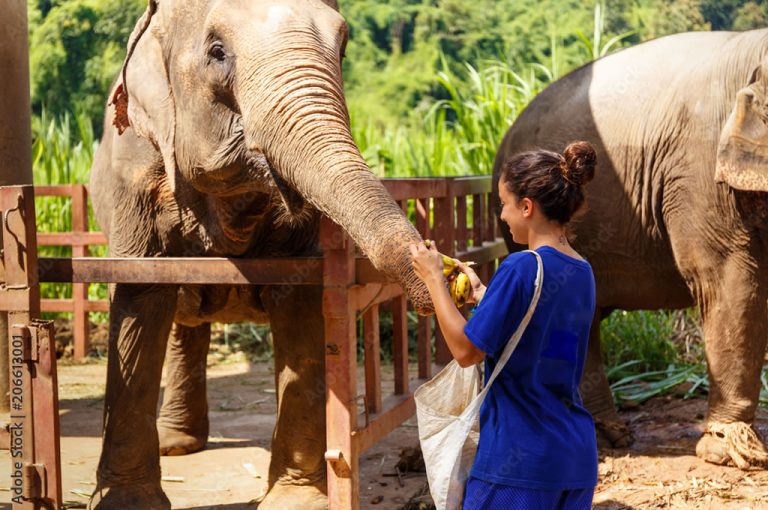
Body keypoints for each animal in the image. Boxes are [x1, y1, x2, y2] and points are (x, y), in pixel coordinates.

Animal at [89, 1, 432, 508]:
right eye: (217, 52)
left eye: (343, 46)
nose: (441, 275)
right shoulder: (132, 180)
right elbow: (140, 303)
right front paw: (126, 504)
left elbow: (301, 308)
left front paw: (296, 500)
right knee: (182, 321)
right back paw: (177, 446)